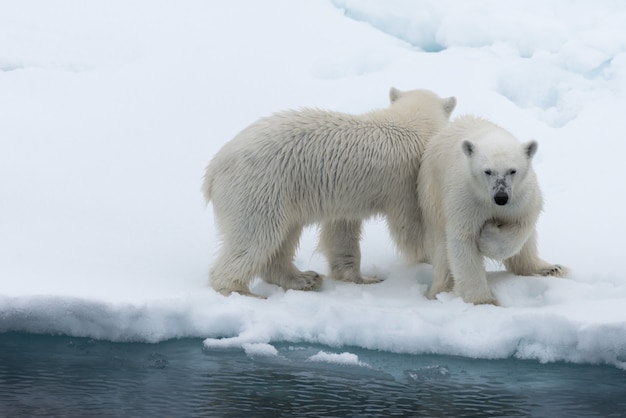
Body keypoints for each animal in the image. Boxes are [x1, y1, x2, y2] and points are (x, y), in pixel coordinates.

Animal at [205, 88, 454, 298]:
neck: (411, 121)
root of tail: (214, 169)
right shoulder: (405, 183)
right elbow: (411, 229)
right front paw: (427, 257)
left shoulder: (346, 195)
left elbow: (340, 231)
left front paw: (361, 278)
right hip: (260, 188)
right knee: (256, 235)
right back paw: (241, 290)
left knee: (284, 237)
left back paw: (304, 278)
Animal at [416, 114, 568, 304]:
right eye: (487, 171)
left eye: (512, 170)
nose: (501, 197)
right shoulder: (466, 198)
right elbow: (463, 240)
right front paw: (483, 301)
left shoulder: (521, 198)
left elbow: (521, 224)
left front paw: (487, 236)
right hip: (432, 196)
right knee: (442, 249)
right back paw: (440, 291)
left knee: (527, 244)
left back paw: (550, 268)